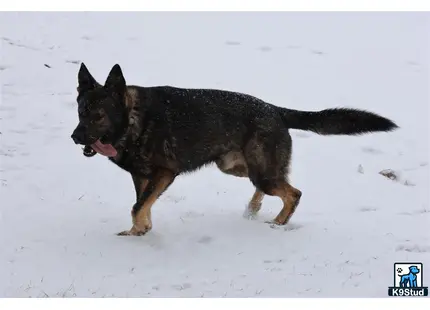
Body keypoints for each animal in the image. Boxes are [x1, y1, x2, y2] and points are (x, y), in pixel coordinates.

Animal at [71, 64, 400, 236]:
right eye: (81, 111)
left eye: (98, 115)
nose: (75, 137)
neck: (132, 121)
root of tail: (276, 110)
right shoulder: (143, 178)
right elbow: (142, 204)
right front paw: (139, 232)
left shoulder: (164, 174)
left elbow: (138, 206)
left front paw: (138, 232)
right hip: (236, 166)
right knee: (273, 186)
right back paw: (252, 209)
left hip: (260, 172)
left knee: (293, 193)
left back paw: (278, 224)